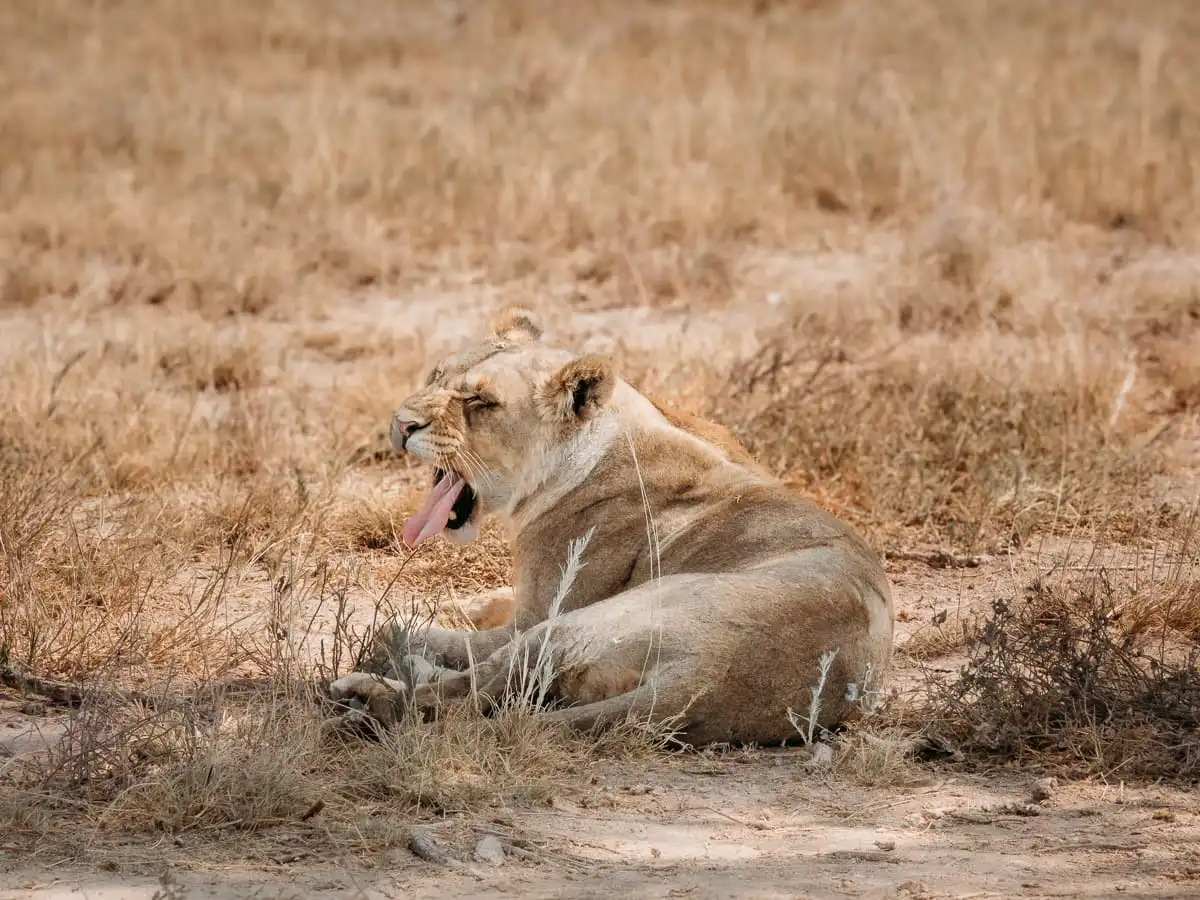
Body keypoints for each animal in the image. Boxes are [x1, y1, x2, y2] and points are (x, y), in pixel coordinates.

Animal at [329, 306, 895, 747]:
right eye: (435, 374)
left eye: (480, 402)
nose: (401, 424)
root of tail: (709, 680)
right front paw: (464, 604)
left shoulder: (538, 612)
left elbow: (413, 631)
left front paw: (414, 634)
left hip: (583, 623)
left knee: (470, 692)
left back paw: (365, 693)